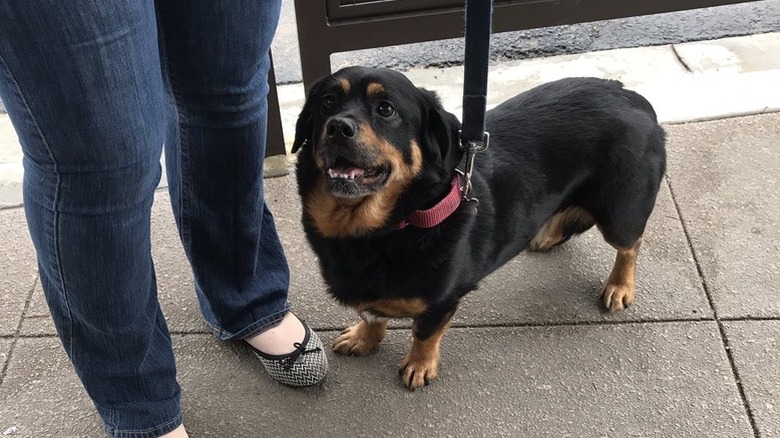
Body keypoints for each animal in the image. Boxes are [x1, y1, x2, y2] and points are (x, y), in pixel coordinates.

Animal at [290, 67, 668, 390]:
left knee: (630, 246)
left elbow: (424, 334)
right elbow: (371, 316)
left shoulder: (442, 301)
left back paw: (620, 285)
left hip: (620, 213)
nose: (337, 127)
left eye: (385, 109)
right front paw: (364, 338)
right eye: (327, 103)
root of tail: (630, 95)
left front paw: (419, 365)